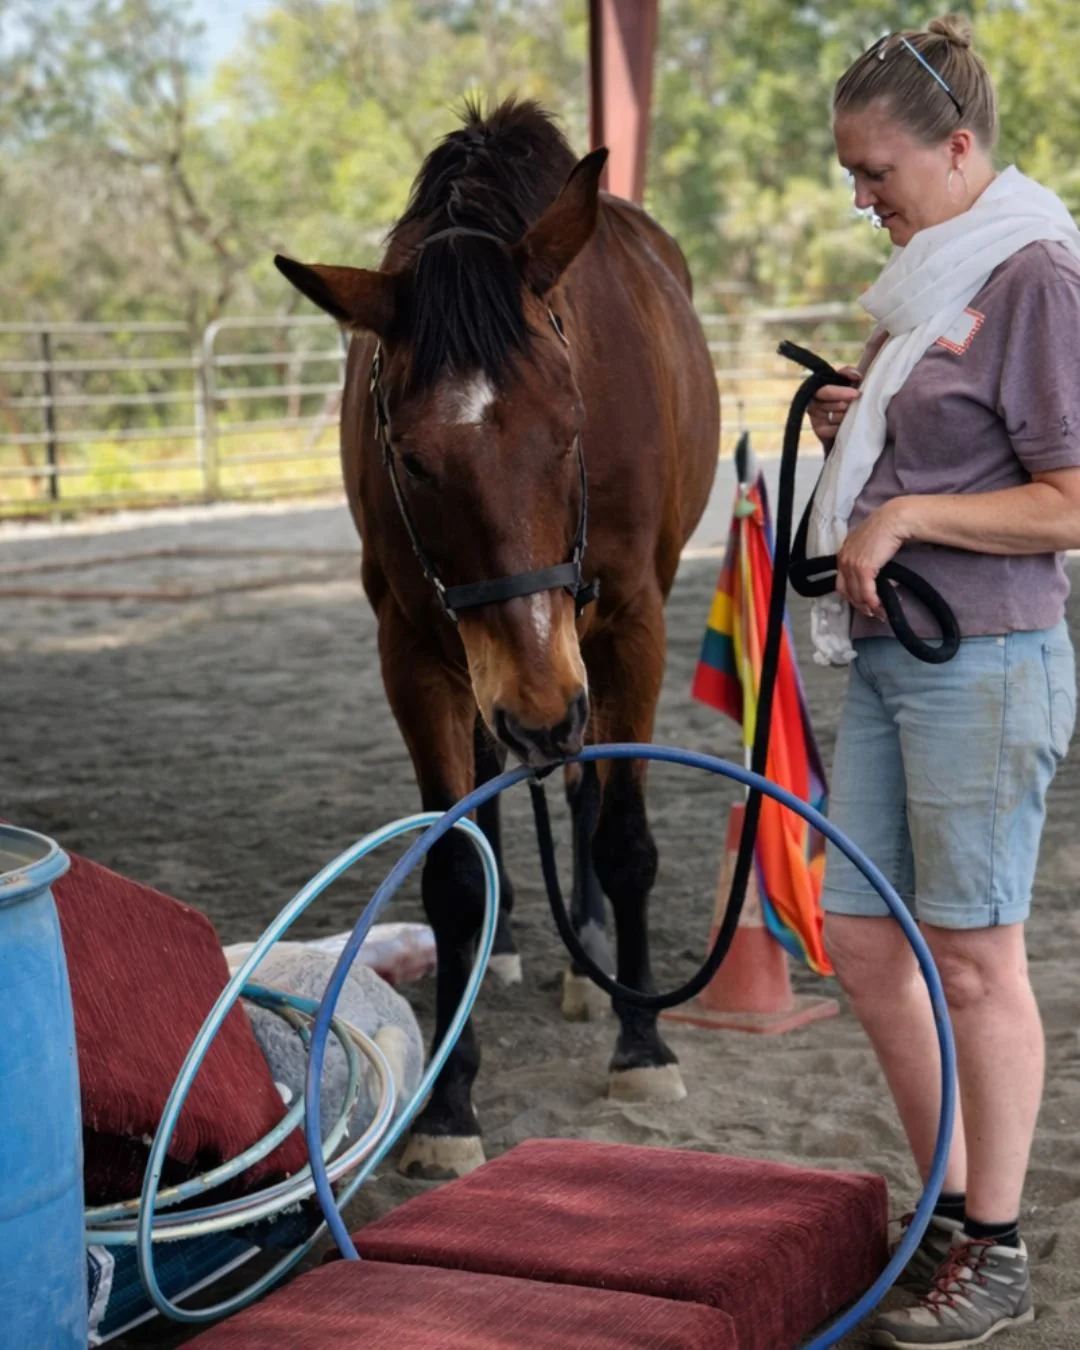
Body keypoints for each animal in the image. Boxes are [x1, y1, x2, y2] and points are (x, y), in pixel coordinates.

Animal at [276, 99, 719, 1178]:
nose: (540, 709)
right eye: (408, 456)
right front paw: (448, 1102)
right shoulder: (417, 653)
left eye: (572, 424)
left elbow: (623, 838)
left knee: (585, 788)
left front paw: (642, 1042)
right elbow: (447, 874)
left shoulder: (627, 630)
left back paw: (592, 957)